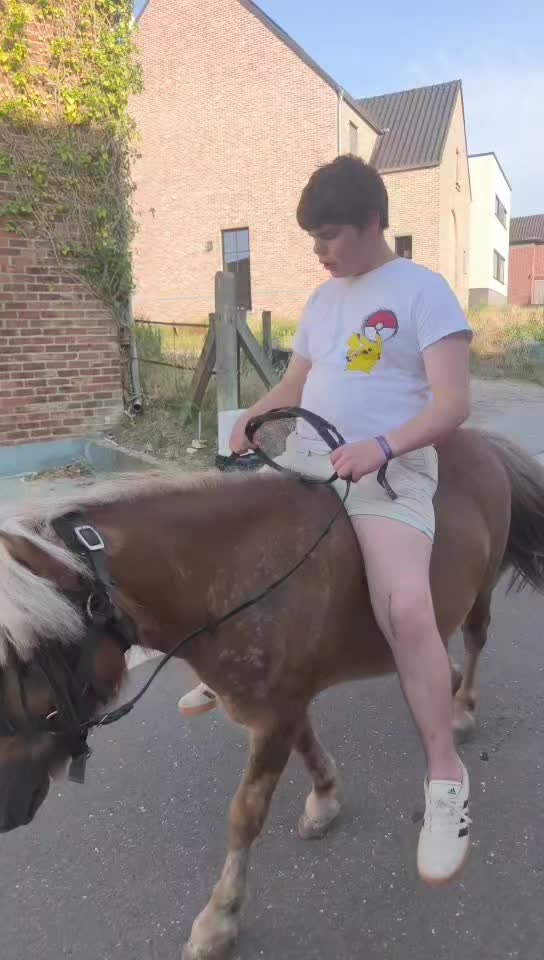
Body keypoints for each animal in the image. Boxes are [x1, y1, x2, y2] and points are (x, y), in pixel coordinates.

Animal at [0, 428, 543, 960]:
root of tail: (483, 442)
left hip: (480, 588)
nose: (9, 809)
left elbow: (245, 816)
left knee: (475, 638)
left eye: (25, 663)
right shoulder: (281, 703)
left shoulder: (274, 716)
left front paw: (219, 920)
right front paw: (325, 801)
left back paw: (462, 712)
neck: (236, 577)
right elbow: (307, 744)